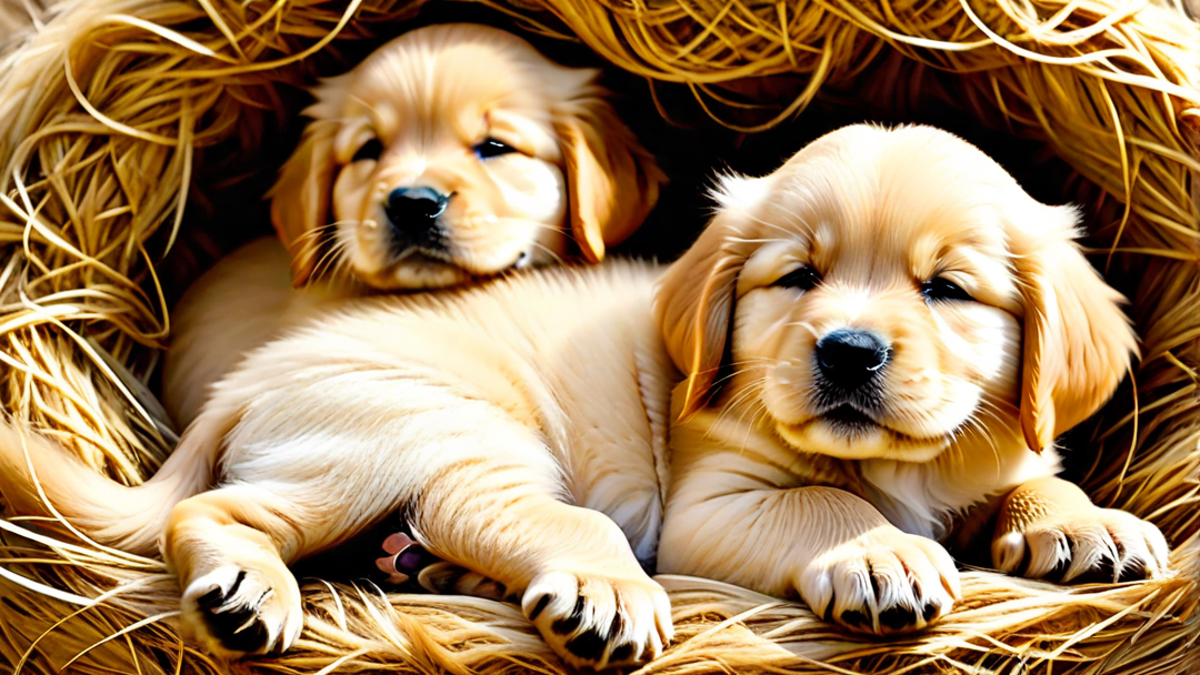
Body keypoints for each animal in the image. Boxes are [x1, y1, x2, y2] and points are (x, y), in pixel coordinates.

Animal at [657, 123, 1171, 634]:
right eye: (799, 276)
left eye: (946, 288)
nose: (850, 352)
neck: (900, 465)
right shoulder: (703, 509)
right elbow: (818, 499)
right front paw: (883, 555)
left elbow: (1041, 483)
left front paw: (1089, 523)